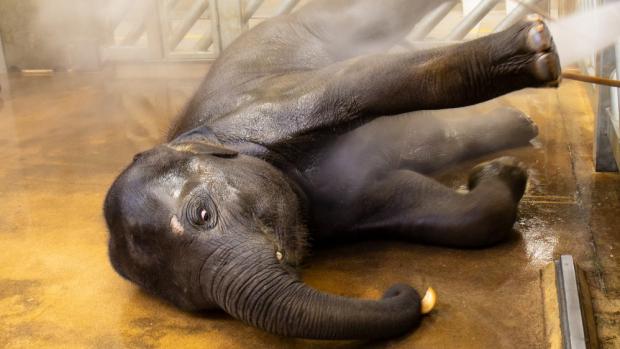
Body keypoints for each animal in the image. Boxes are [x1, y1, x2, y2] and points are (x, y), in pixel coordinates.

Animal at [103, 0, 560, 338]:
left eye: (201, 214)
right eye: (193, 300)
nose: (407, 289)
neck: (204, 137)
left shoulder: (272, 108)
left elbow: (362, 77)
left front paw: (535, 51)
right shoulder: (344, 208)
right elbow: (448, 212)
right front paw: (503, 171)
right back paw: (520, 125)